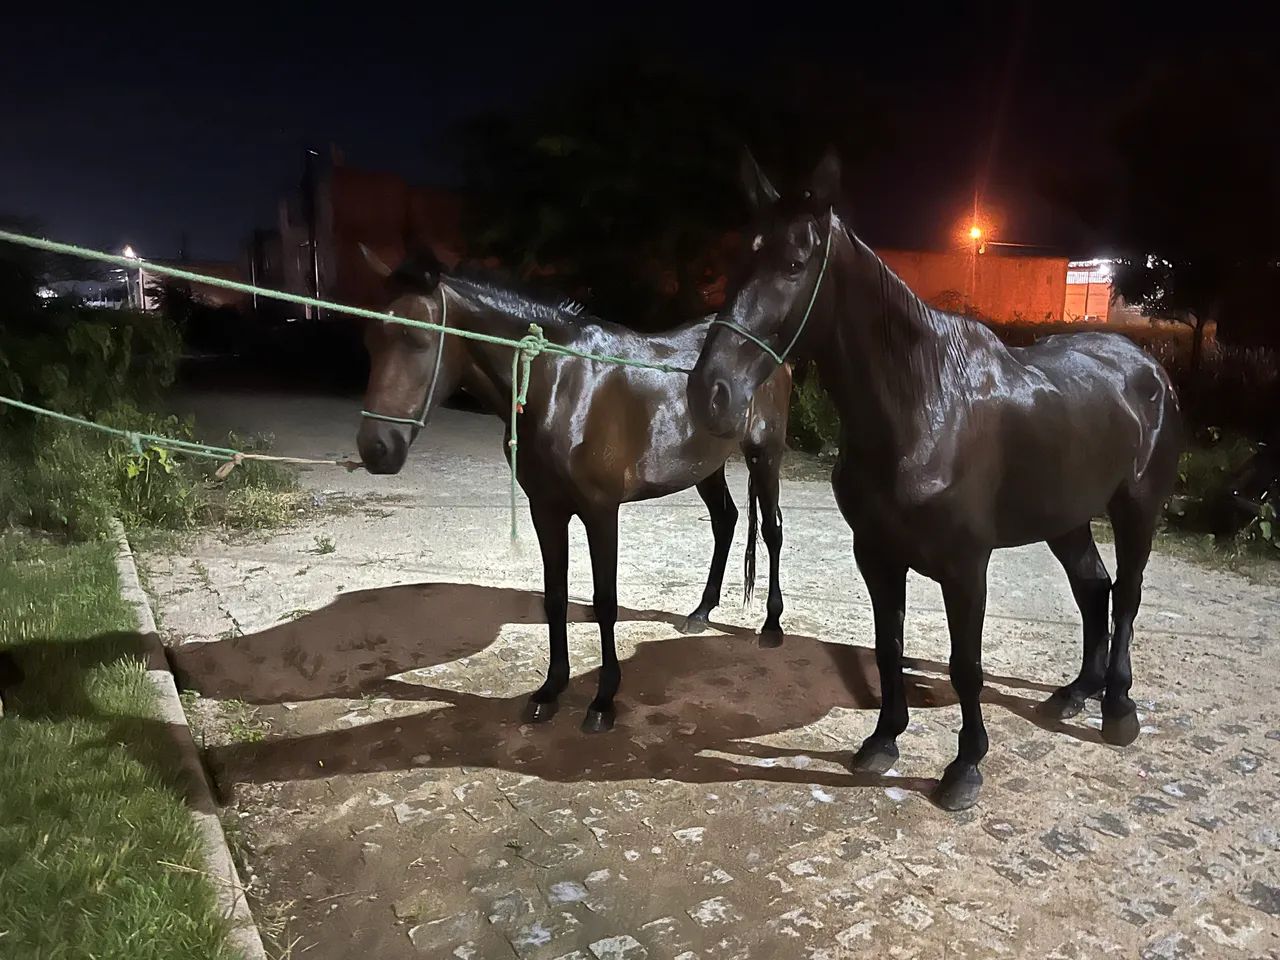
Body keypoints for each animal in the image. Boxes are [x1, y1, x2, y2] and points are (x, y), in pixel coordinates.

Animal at [356, 251, 793, 732]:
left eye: (416, 337)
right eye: (370, 338)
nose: (376, 448)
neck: (562, 385)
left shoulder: (601, 512)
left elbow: (605, 603)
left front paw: (603, 700)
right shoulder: (546, 510)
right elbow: (555, 598)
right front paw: (550, 689)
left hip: (764, 454)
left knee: (771, 530)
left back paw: (772, 625)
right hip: (704, 466)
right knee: (725, 520)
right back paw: (701, 612)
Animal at [687, 150, 1182, 810]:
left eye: (793, 264)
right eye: (739, 259)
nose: (709, 392)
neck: (923, 405)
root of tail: (1149, 368)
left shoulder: (965, 564)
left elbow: (965, 665)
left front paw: (965, 766)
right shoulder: (876, 554)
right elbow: (888, 646)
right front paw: (882, 740)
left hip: (1136, 509)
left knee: (1125, 596)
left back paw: (1118, 709)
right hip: (1066, 517)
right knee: (1092, 588)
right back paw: (1077, 693)